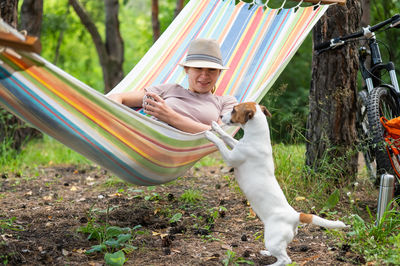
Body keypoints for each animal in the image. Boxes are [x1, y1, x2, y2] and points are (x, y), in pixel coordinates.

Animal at [205, 102, 346, 266]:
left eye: (234, 109)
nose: (221, 116)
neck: (256, 138)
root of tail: (295, 216)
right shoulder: (236, 144)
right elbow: (227, 137)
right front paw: (216, 127)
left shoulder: (230, 158)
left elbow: (221, 143)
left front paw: (210, 135)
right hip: (278, 241)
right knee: (282, 253)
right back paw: (267, 253)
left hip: (272, 239)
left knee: (286, 260)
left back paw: (271, 264)